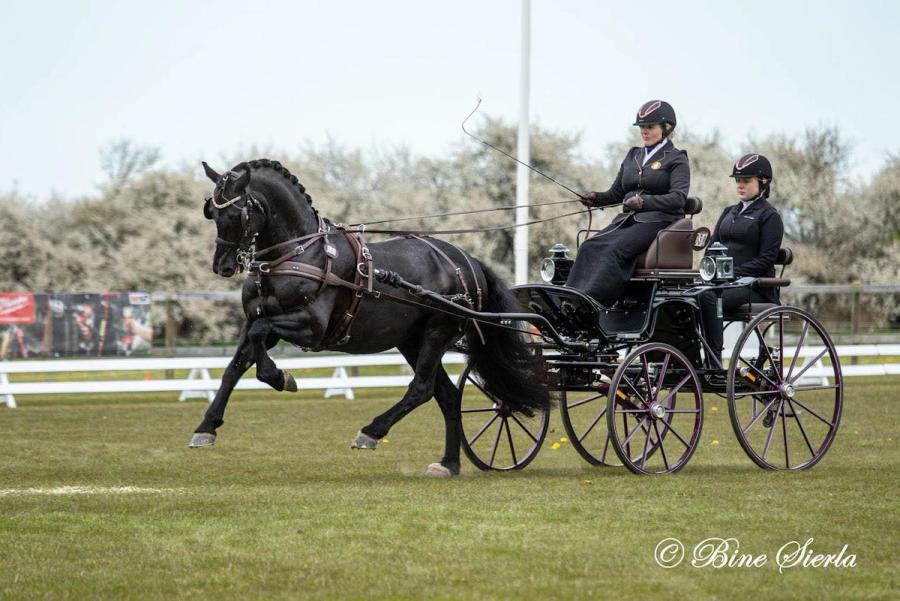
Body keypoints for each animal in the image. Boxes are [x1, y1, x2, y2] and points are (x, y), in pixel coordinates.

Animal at [190, 159, 548, 478]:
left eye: (236, 213)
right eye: (212, 212)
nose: (222, 266)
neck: (298, 253)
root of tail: (468, 262)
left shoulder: (310, 327)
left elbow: (260, 344)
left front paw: (281, 378)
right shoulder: (256, 321)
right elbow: (234, 366)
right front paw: (207, 426)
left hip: (437, 333)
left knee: (421, 389)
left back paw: (372, 431)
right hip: (411, 341)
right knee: (446, 396)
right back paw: (449, 464)